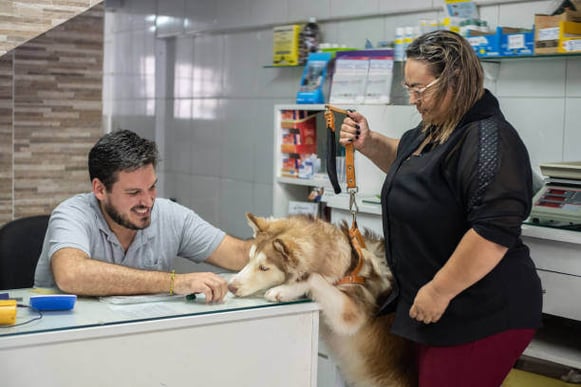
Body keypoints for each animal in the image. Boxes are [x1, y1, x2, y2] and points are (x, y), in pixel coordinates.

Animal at [228, 214, 416, 386]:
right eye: (249, 258)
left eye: (264, 268)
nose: (230, 287)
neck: (348, 266)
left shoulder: (350, 315)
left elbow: (313, 277)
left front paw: (283, 291)